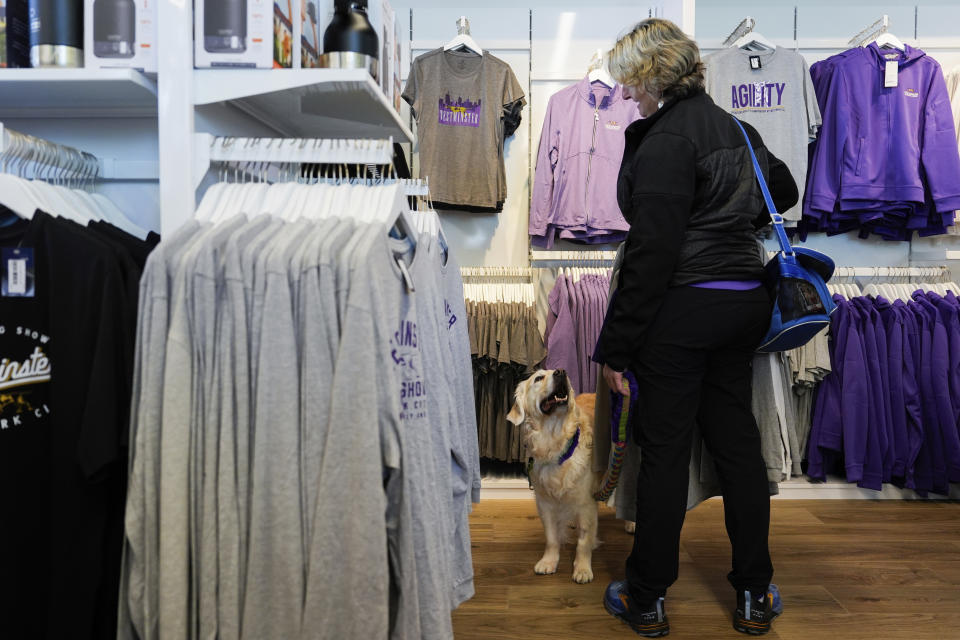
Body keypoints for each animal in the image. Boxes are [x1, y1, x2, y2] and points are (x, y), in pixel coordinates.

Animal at [506, 370, 596, 584]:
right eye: (538, 378)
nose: (561, 372)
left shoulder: (586, 503)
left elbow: (584, 540)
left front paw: (582, 569)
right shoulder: (544, 502)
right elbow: (551, 537)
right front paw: (549, 561)